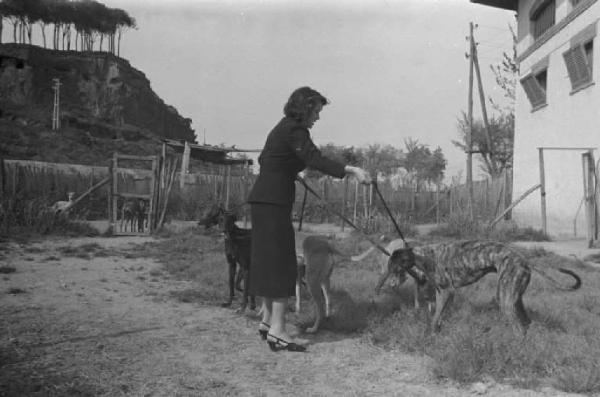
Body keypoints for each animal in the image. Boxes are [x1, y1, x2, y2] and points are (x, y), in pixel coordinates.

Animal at [386, 238, 580, 334]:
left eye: (394, 268)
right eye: (389, 268)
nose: (389, 285)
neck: (426, 255)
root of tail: (524, 260)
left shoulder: (447, 292)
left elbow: (434, 318)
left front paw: (432, 335)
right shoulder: (444, 294)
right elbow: (438, 317)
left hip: (505, 300)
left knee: (519, 328)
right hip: (515, 299)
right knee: (526, 324)